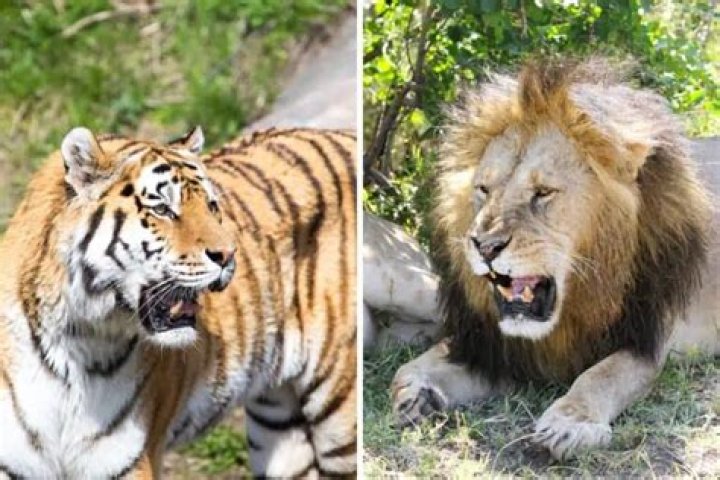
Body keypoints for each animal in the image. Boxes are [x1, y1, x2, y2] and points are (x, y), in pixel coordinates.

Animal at [0, 126, 357, 478]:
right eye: (161, 209)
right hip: (278, 423)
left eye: (212, 206)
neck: (76, 341)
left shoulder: (127, 462)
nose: (229, 255)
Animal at [391, 59, 716, 460]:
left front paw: (570, 423)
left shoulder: (649, 338)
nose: (485, 246)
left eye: (543, 192)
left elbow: (602, 374)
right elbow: (415, 364)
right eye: (484, 189)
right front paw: (415, 390)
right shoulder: (497, 349)